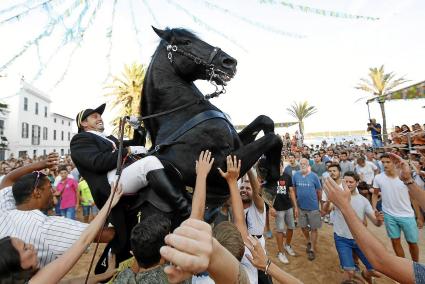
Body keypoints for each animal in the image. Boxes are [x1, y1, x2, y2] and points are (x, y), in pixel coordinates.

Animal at [141, 27, 284, 209]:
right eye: (186, 42)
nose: (230, 62)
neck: (178, 116)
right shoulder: (220, 169)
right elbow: (274, 138)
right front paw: (271, 186)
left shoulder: (238, 144)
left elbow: (266, 121)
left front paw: (267, 174)